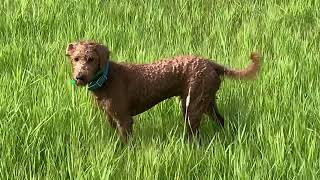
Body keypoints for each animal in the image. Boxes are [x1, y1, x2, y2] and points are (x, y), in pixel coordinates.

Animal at [64, 40, 260, 142]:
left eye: (91, 59)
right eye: (76, 59)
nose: (80, 77)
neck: (107, 78)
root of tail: (210, 63)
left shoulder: (125, 120)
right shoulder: (111, 118)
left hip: (193, 107)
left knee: (196, 135)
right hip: (206, 101)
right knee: (221, 120)